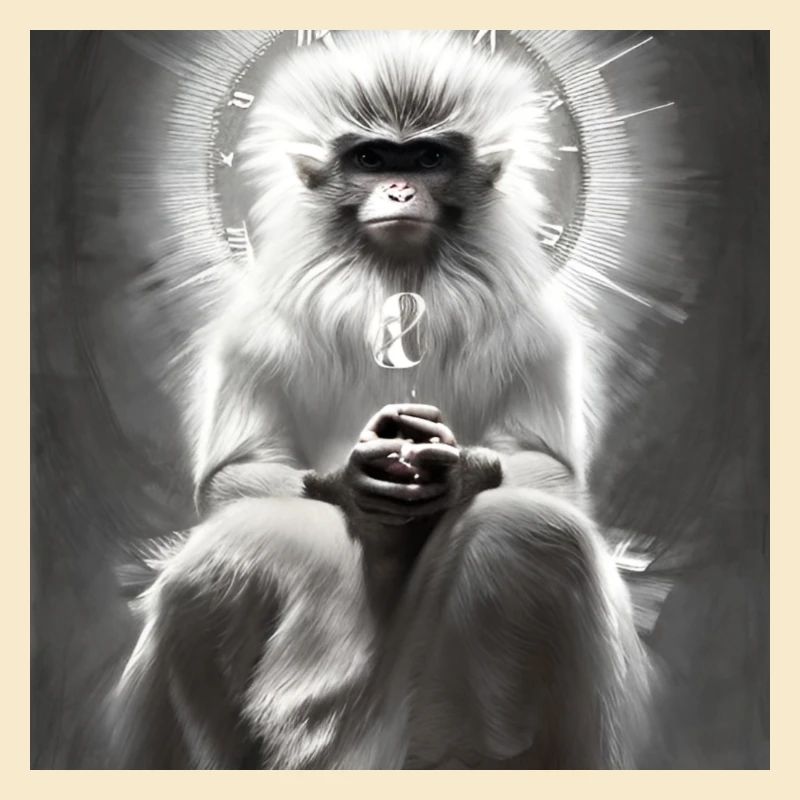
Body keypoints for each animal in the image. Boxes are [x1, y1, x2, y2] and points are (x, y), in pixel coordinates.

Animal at [111, 31, 652, 769]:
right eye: (370, 159)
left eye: (427, 158)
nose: (398, 189)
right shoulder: (252, 326)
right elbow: (232, 478)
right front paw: (351, 479)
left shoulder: (538, 327)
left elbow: (554, 474)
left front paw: (461, 472)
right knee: (221, 564)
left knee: (533, 533)